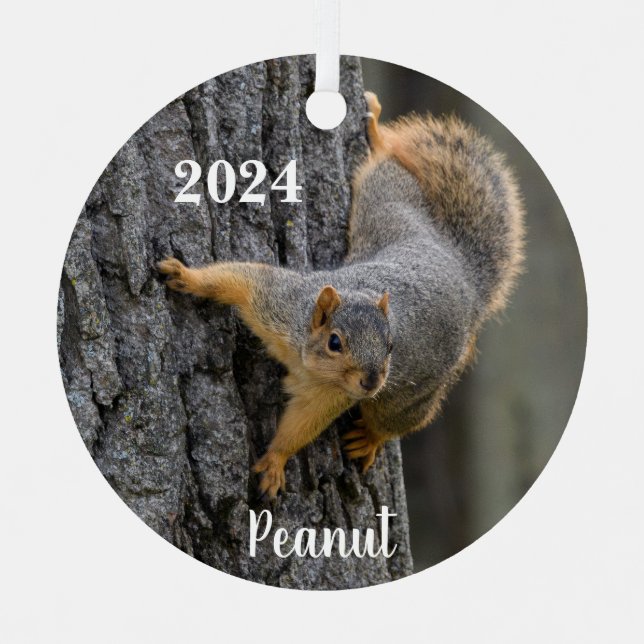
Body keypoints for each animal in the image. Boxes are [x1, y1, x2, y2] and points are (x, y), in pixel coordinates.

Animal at [158, 91, 525, 499]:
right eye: (335, 342)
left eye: (392, 346)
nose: (371, 382)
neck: (307, 359)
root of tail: (463, 272)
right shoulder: (280, 302)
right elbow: (240, 280)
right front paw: (187, 277)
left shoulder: (330, 395)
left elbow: (302, 424)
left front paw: (276, 461)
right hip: (389, 215)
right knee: (388, 175)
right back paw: (378, 134)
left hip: (415, 390)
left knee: (397, 419)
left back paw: (370, 439)